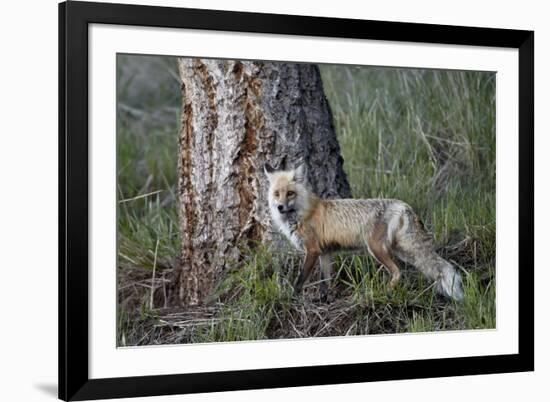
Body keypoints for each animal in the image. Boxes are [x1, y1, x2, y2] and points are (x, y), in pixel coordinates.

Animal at [266, 163, 464, 302]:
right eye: (276, 194)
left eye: (290, 193)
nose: (280, 207)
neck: (304, 212)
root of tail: (403, 206)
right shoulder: (325, 253)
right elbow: (324, 281)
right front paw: (323, 300)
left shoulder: (312, 250)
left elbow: (300, 279)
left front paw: (291, 297)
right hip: (403, 251)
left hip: (376, 248)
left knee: (398, 272)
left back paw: (383, 293)